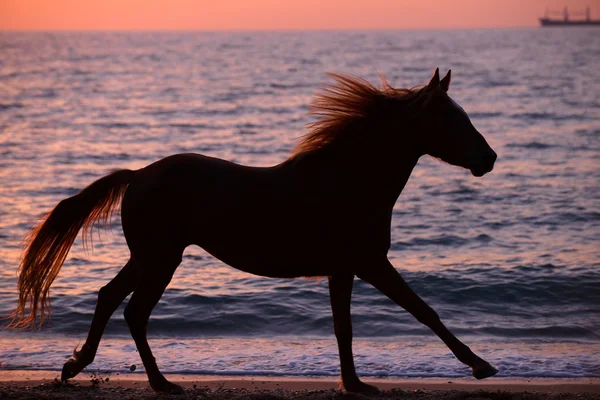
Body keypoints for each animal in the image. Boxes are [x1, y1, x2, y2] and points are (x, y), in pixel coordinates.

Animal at [8, 69, 496, 394]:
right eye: (451, 119)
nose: (489, 159)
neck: (347, 180)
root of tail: (139, 175)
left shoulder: (345, 269)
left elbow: (345, 327)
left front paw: (354, 383)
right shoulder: (369, 263)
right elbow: (424, 312)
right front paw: (480, 366)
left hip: (148, 257)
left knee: (110, 298)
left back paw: (77, 365)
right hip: (161, 259)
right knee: (134, 312)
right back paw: (160, 382)